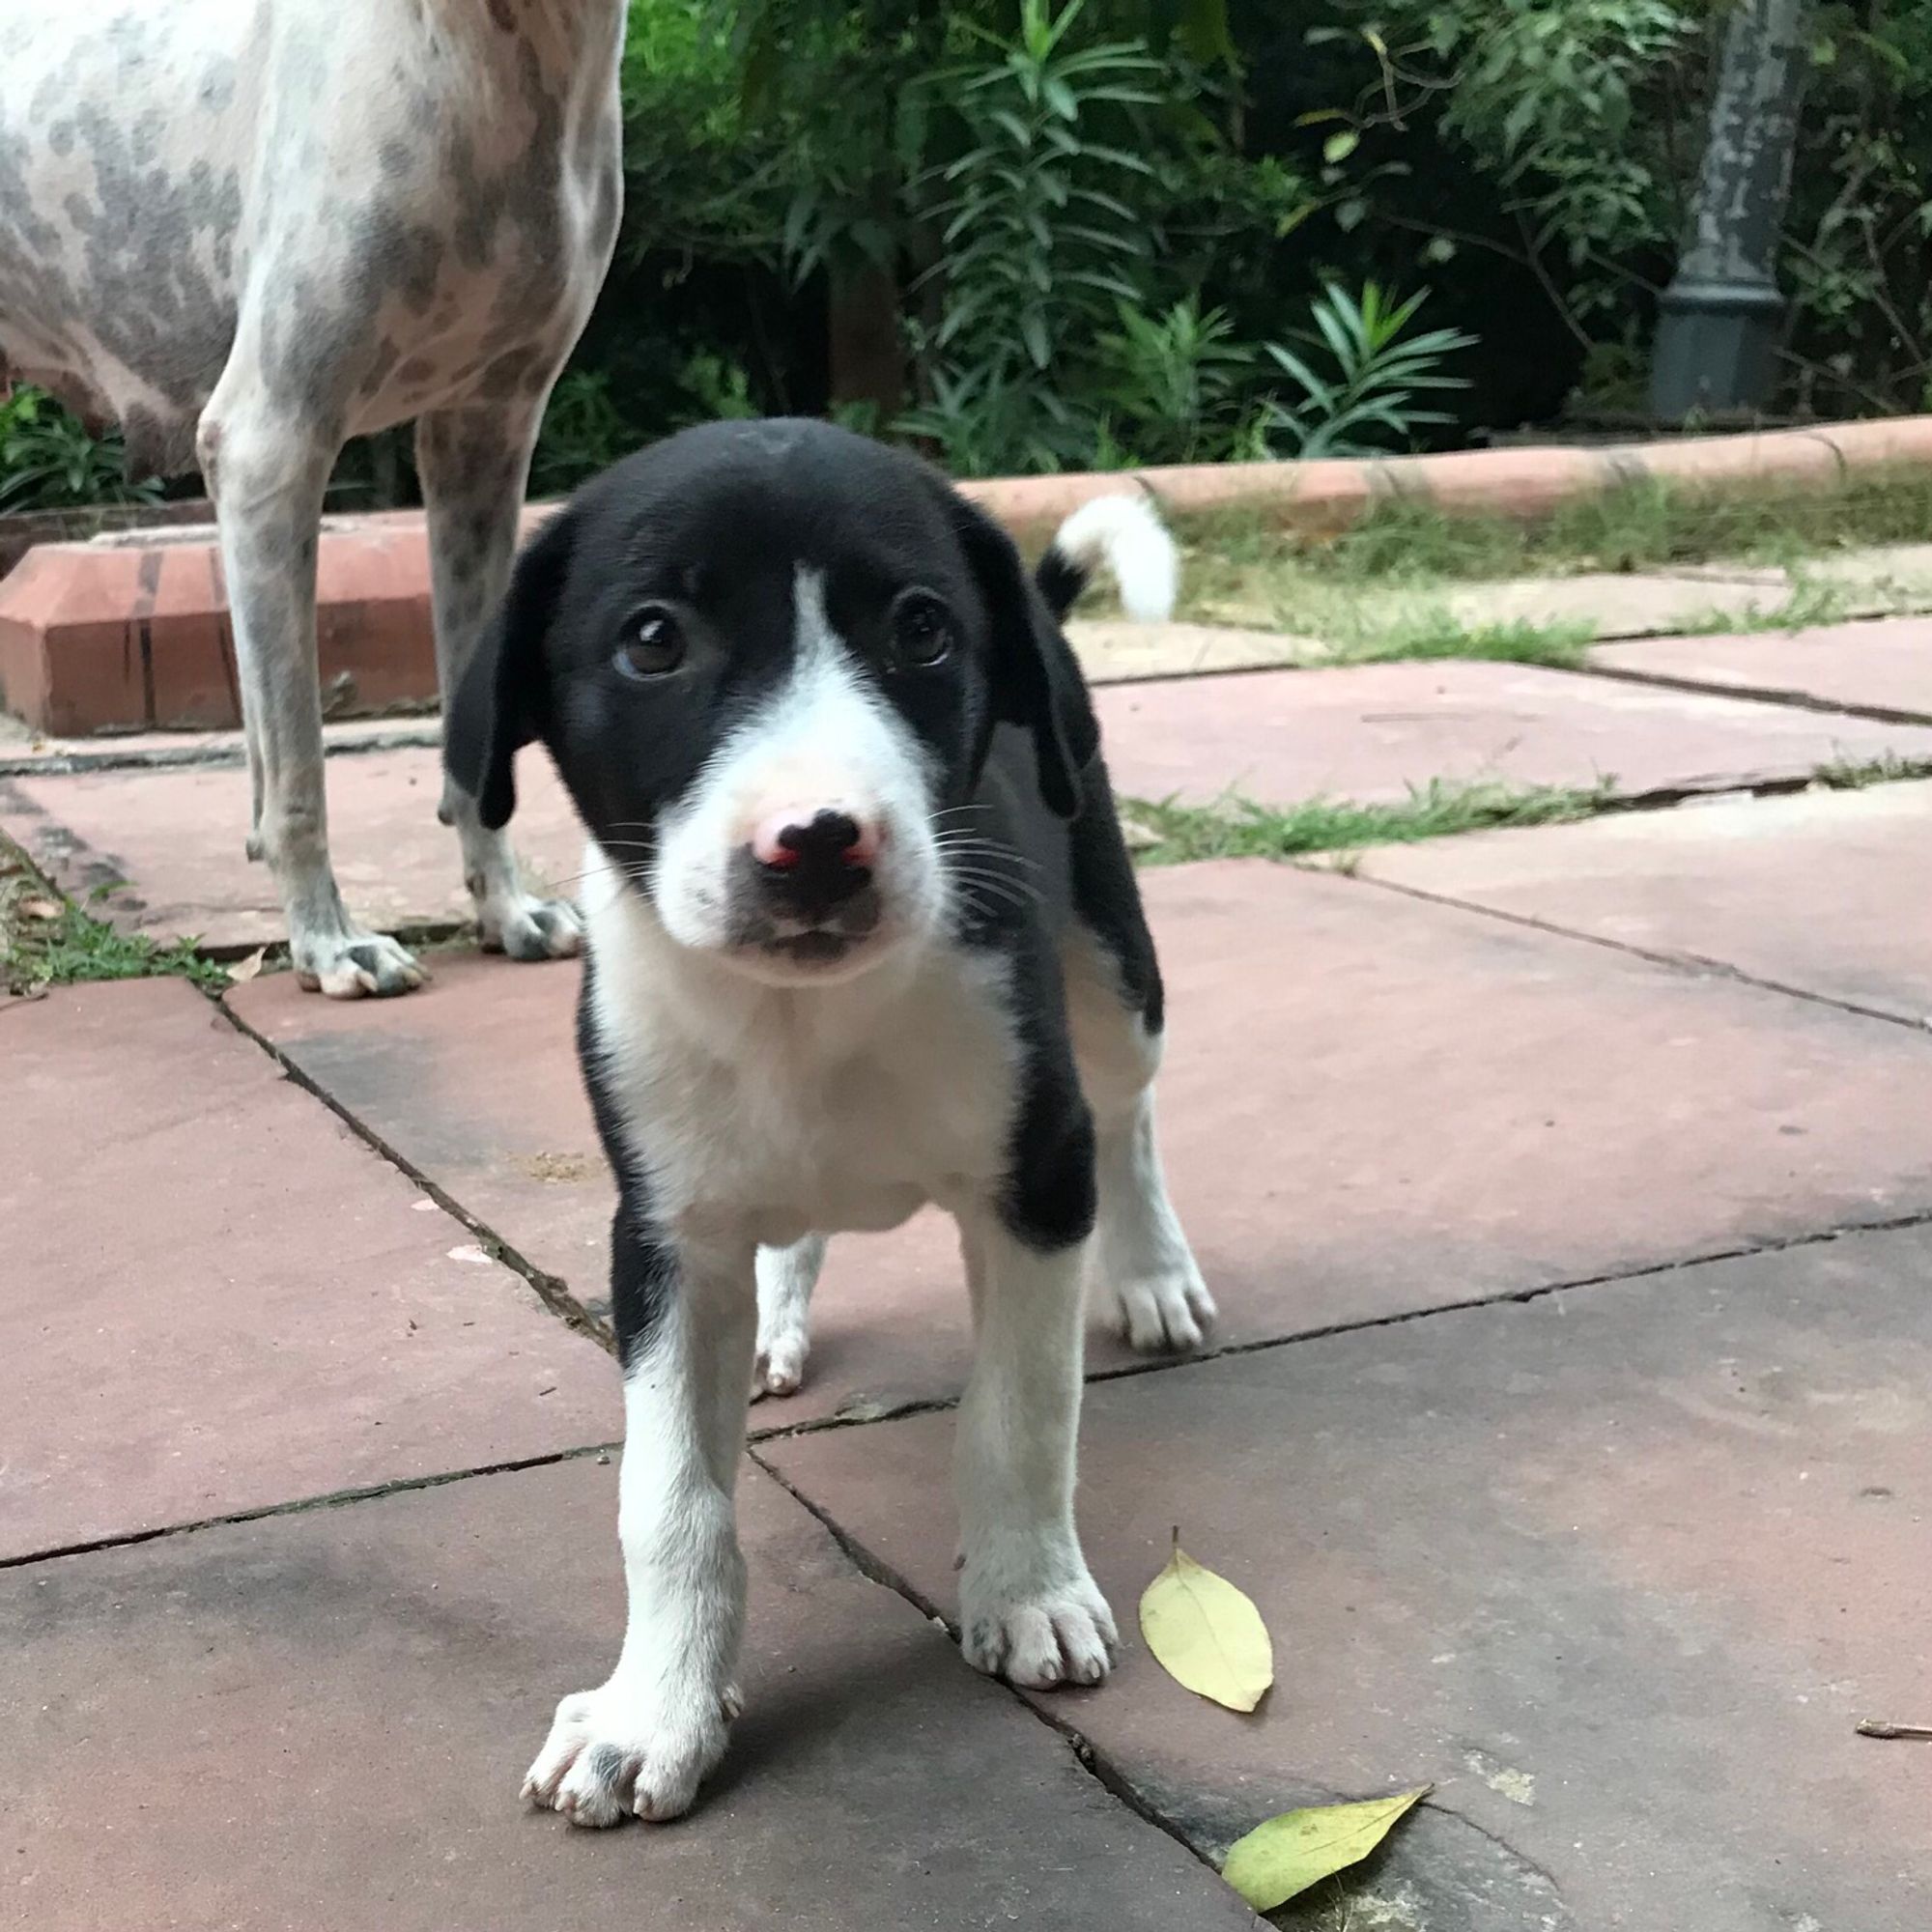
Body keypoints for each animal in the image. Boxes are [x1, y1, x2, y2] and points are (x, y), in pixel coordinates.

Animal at [444, 419, 1213, 1824]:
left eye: (920, 629)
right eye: (653, 639)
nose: (815, 842)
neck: (807, 1019)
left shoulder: (1035, 1184)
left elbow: (1021, 1417)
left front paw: (1027, 1594)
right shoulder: (664, 1235)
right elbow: (669, 1497)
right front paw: (654, 1709)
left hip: (1110, 963)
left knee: (1129, 1109)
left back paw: (1154, 1275)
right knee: (791, 1221)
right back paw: (779, 1318)